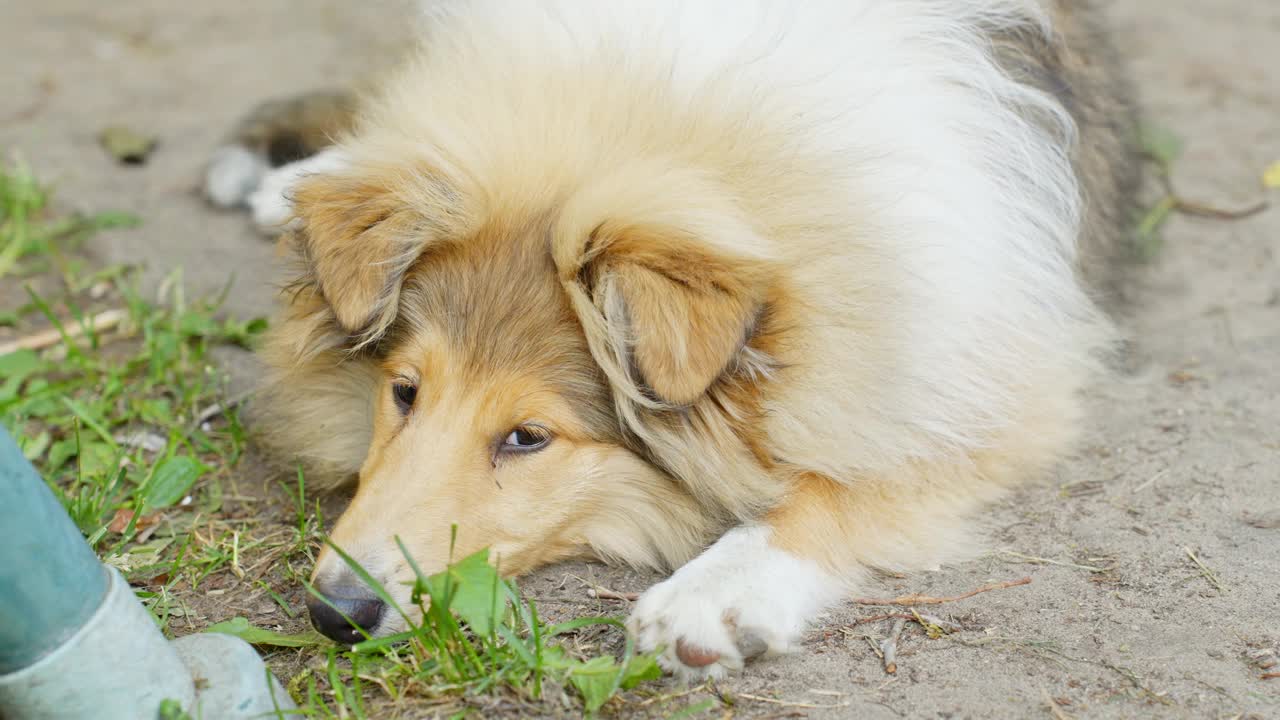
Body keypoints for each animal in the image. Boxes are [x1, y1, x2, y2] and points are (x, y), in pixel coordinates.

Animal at [207, 0, 1141, 676]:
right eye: (403, 391)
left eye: (529, 437)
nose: (337, 614)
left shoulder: (980, 384)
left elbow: (837, 488)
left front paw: (712, 600)